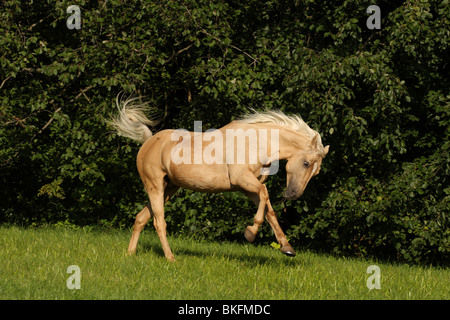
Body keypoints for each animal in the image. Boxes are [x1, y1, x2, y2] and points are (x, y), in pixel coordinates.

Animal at [110, 96, 328, 262]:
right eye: (306, 163)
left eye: (316, 172)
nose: (293, 194)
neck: (255, 142)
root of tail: (148, 141)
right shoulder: (243, 181)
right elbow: (265, 196)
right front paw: (250, 233)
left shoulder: (249, 188)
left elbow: (269, 210)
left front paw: (287, 247)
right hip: (155, 186)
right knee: (159, 222)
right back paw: (171, 258)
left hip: (168, 189)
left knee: (141, 218)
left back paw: (130, 254)